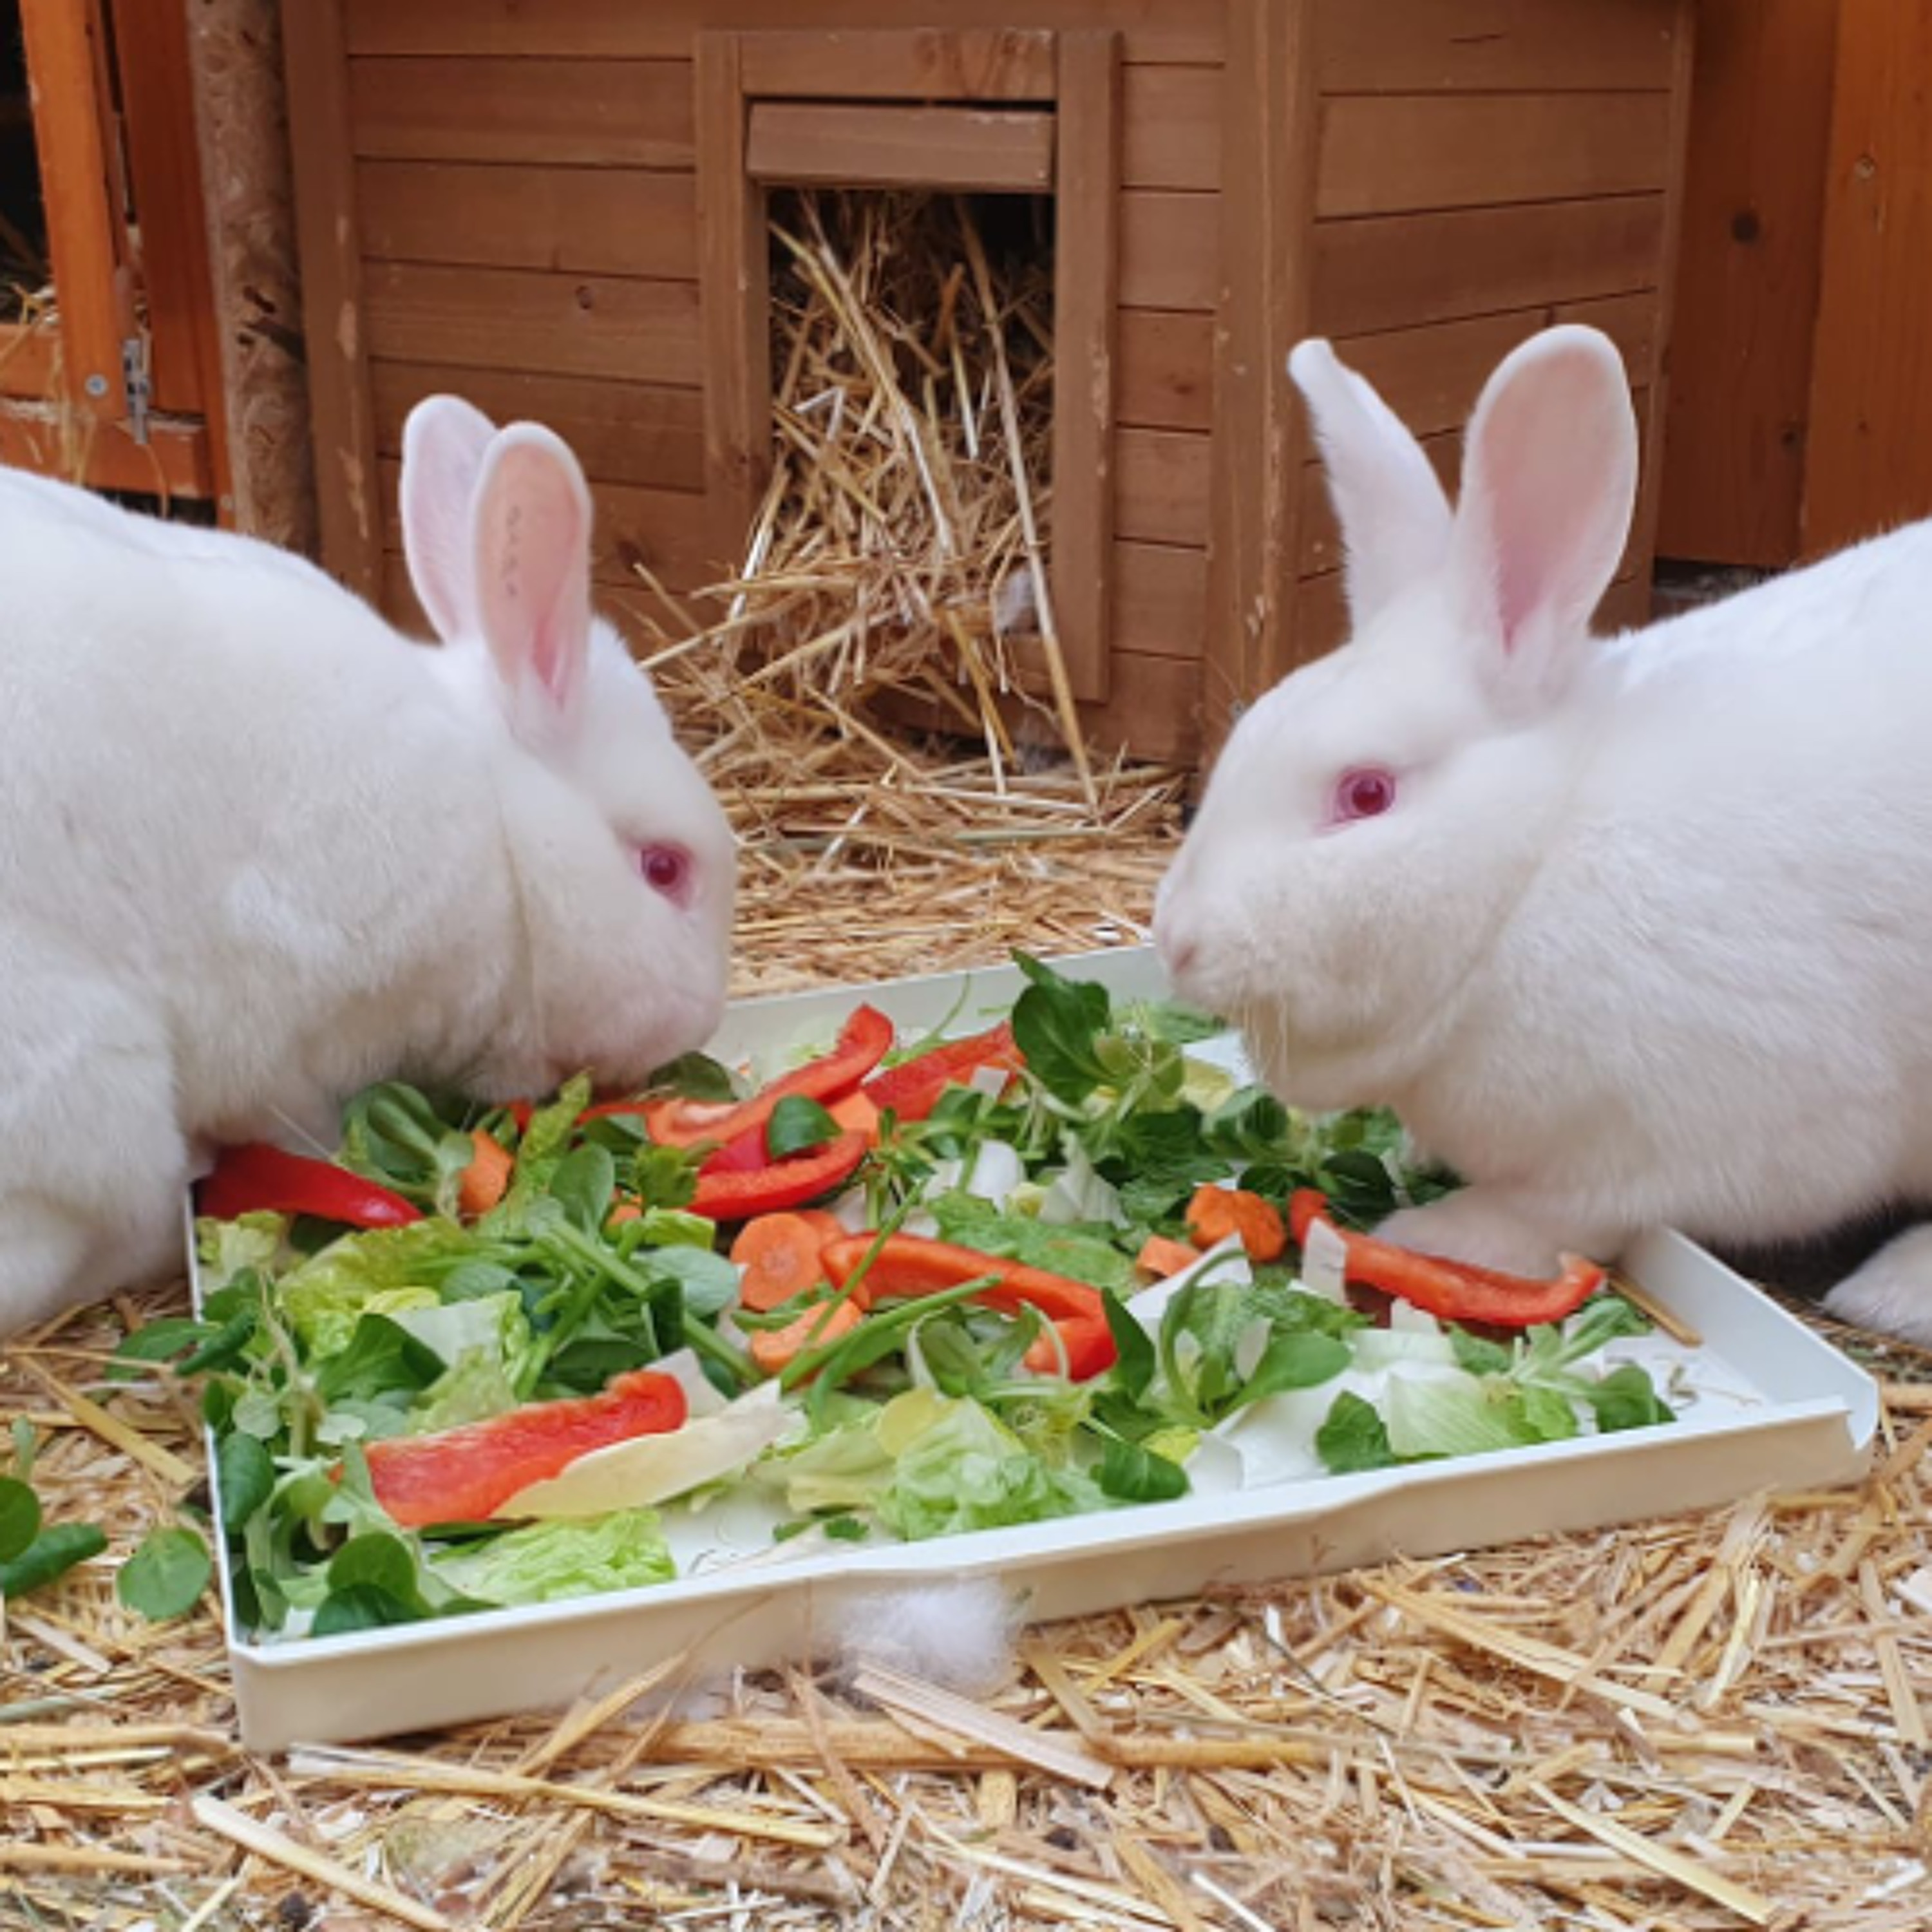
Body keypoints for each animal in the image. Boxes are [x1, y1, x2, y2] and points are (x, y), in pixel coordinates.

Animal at [0, 395, 736, 1336]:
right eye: (664, 869)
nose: (698, 1022)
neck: (501, 844)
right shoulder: (286, 1027)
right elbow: (298, 1126)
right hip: (87, 1092)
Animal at [1152, 321, 1932, 1347]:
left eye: (1366, 793)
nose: (1176, 940)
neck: (1527, 879)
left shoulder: (1682, 1141)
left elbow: (1551, 1216)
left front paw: (1431, 1234)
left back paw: (1891, 1291)